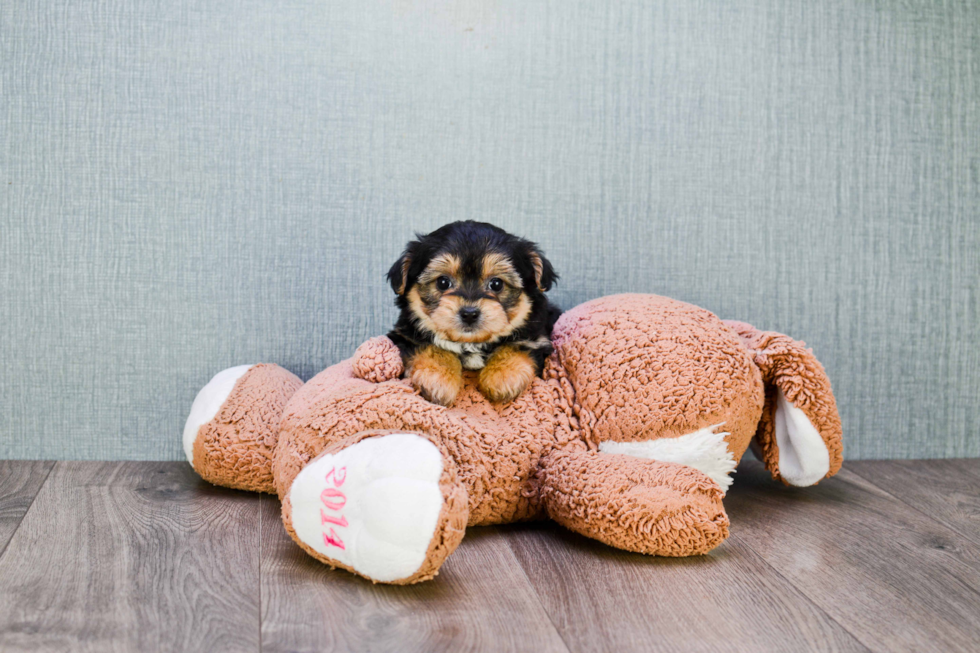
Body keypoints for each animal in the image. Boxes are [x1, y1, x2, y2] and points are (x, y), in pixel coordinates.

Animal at [386, 224, 564, 408]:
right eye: (443, 282)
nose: (469, 314)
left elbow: (516, 346)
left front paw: (502, 376)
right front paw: (437, 379)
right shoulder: (406, 335)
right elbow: (433, 347)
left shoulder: (537, 339)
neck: (471, 343)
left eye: (496, 284)